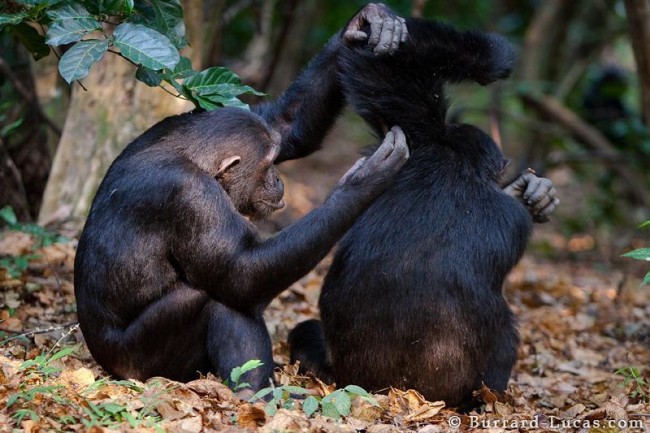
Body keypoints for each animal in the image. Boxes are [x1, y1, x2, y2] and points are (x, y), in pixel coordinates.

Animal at [73, 3, 410, 390]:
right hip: (143, 364)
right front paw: (367, 178)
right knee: (216, 296)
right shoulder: (190, 196)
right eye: (266, 164)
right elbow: (241, 273)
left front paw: (365, 23)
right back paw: (257, 395)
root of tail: (106, 367)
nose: (278, 179)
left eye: (275, 158)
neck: (194, 157)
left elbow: (282, 123)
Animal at [288, 5, 556, 406]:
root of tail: (397, 390)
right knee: (507, 339)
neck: (457, 164)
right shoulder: (510, 217)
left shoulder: (415, 135)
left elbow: (378, 73)